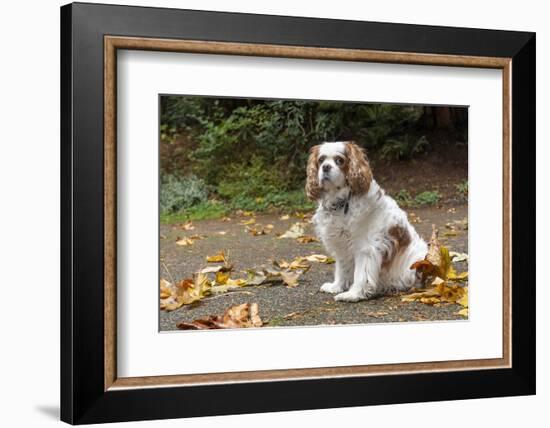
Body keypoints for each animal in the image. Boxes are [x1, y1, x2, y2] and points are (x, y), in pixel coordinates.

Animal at [306, 141, 432, 300]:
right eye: (321, 160)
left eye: (339, 160)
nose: (326, 167)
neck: (342, 203)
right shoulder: (342, 246)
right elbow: (342, 269)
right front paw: (337, 287)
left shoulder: (365, 248)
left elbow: (361, 274)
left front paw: (353, 294)